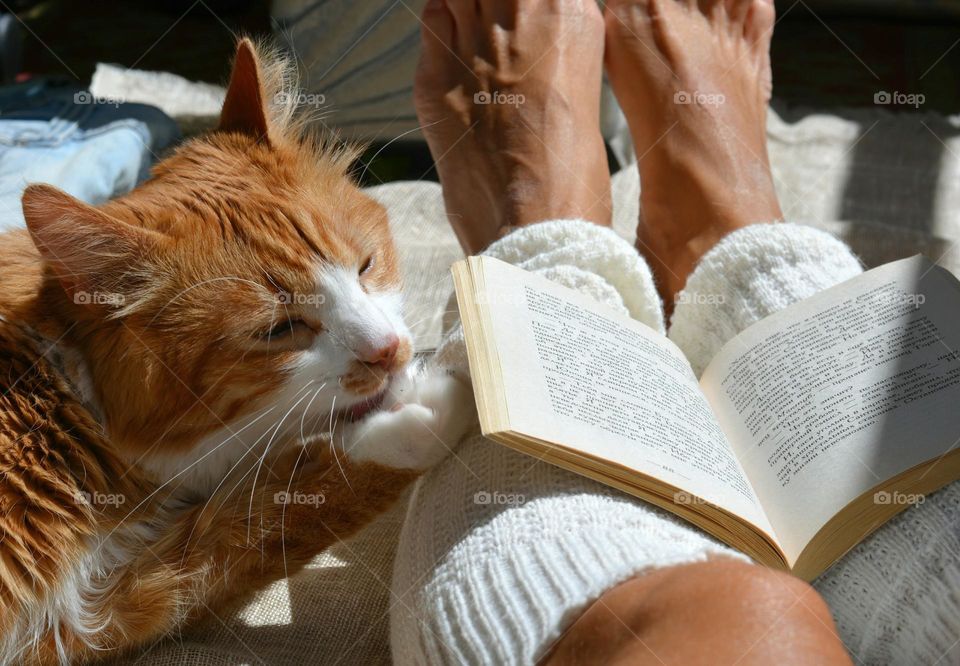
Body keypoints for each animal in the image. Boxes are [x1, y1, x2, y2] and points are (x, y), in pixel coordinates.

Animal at [0, 39, 476, 660]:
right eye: (279, 330)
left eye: (366, 265)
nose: (390, 351)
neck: (59, 395)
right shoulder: (73, 624)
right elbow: (280, 509)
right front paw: (419, 420)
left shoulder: (89, 617)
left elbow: (240, 536)